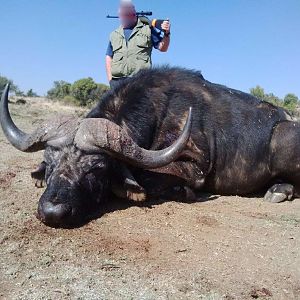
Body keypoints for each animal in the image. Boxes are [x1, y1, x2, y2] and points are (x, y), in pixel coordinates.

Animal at [1, 67, 298, 227]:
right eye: (51, 164)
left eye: (96, 169)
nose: (52, 212)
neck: (159, 112)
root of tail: (284, 119)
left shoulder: (194, 166)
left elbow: (147, 179)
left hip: (284, 139)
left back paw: (279, 190)